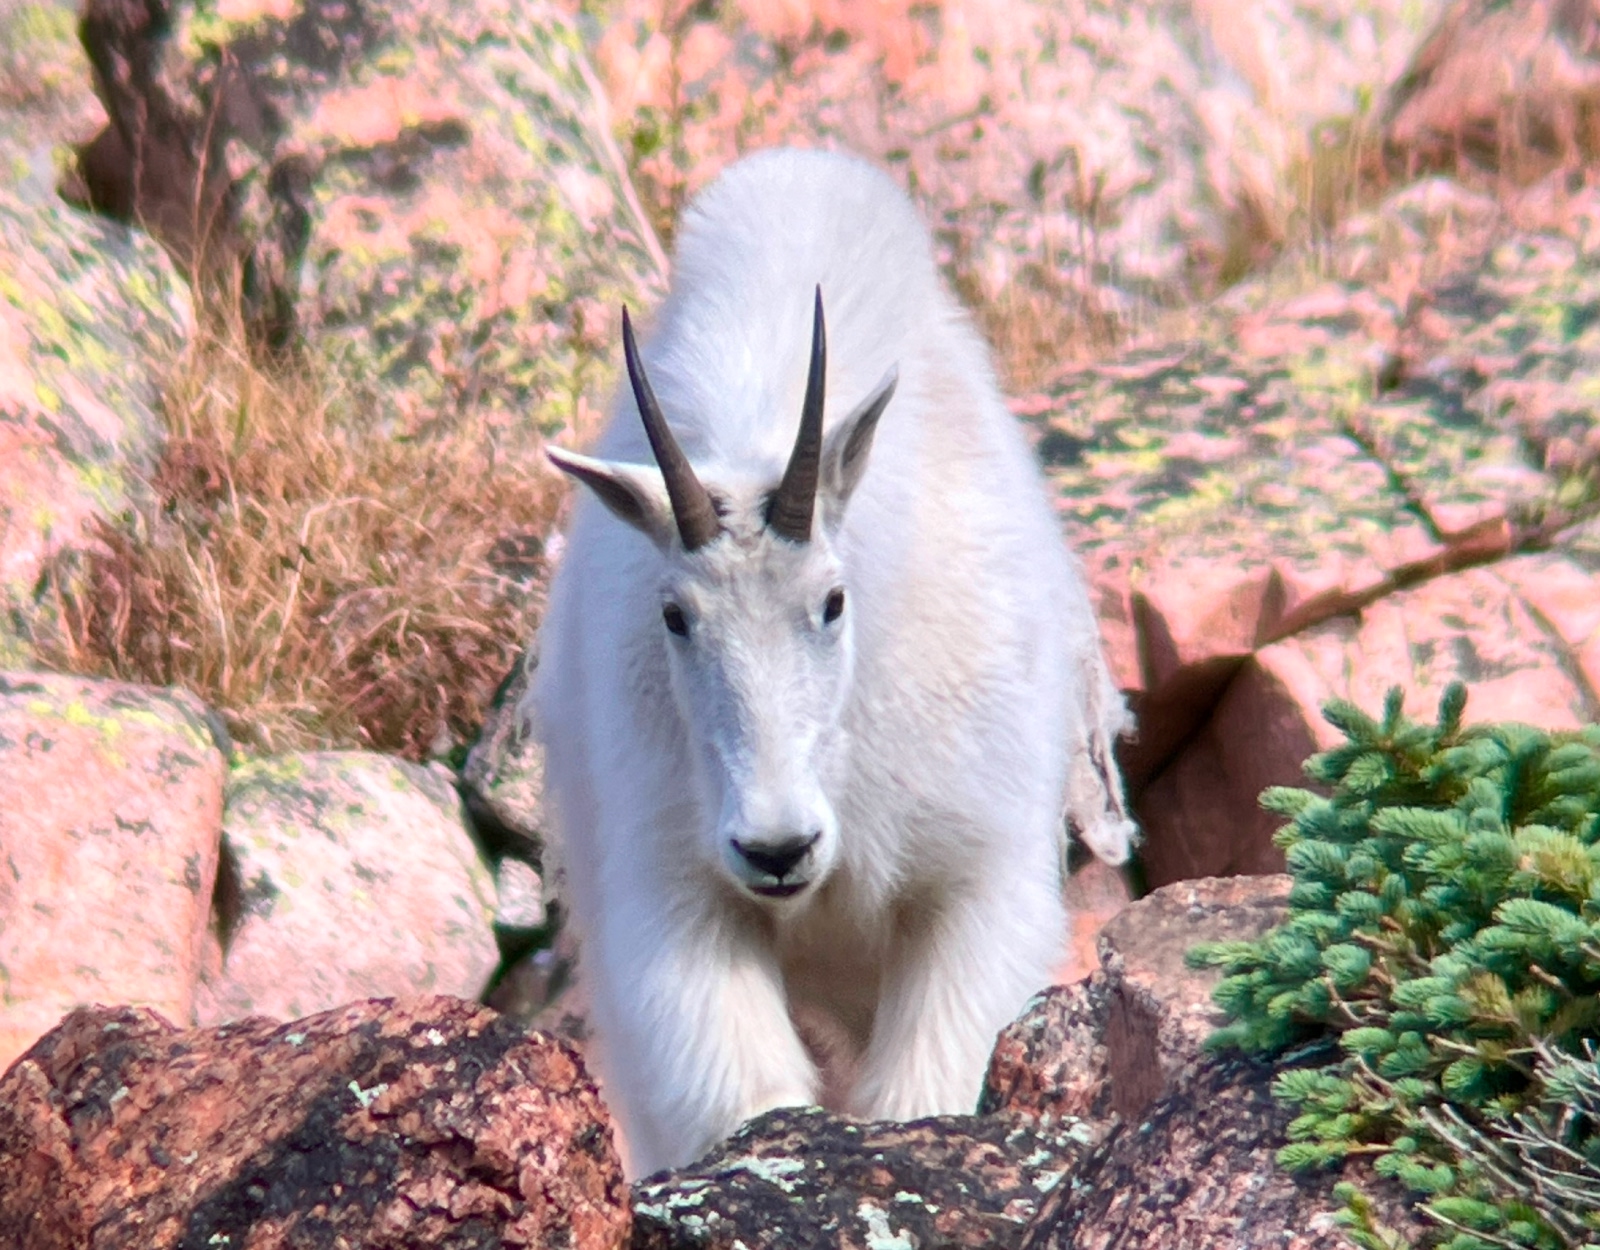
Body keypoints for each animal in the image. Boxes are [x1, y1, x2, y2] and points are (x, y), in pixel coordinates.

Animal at [528, 148, 1134, 1177]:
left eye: (834, 600)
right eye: (674, 615)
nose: (778, 850)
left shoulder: (971, 884)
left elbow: (924, 1087)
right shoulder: (678, 899)